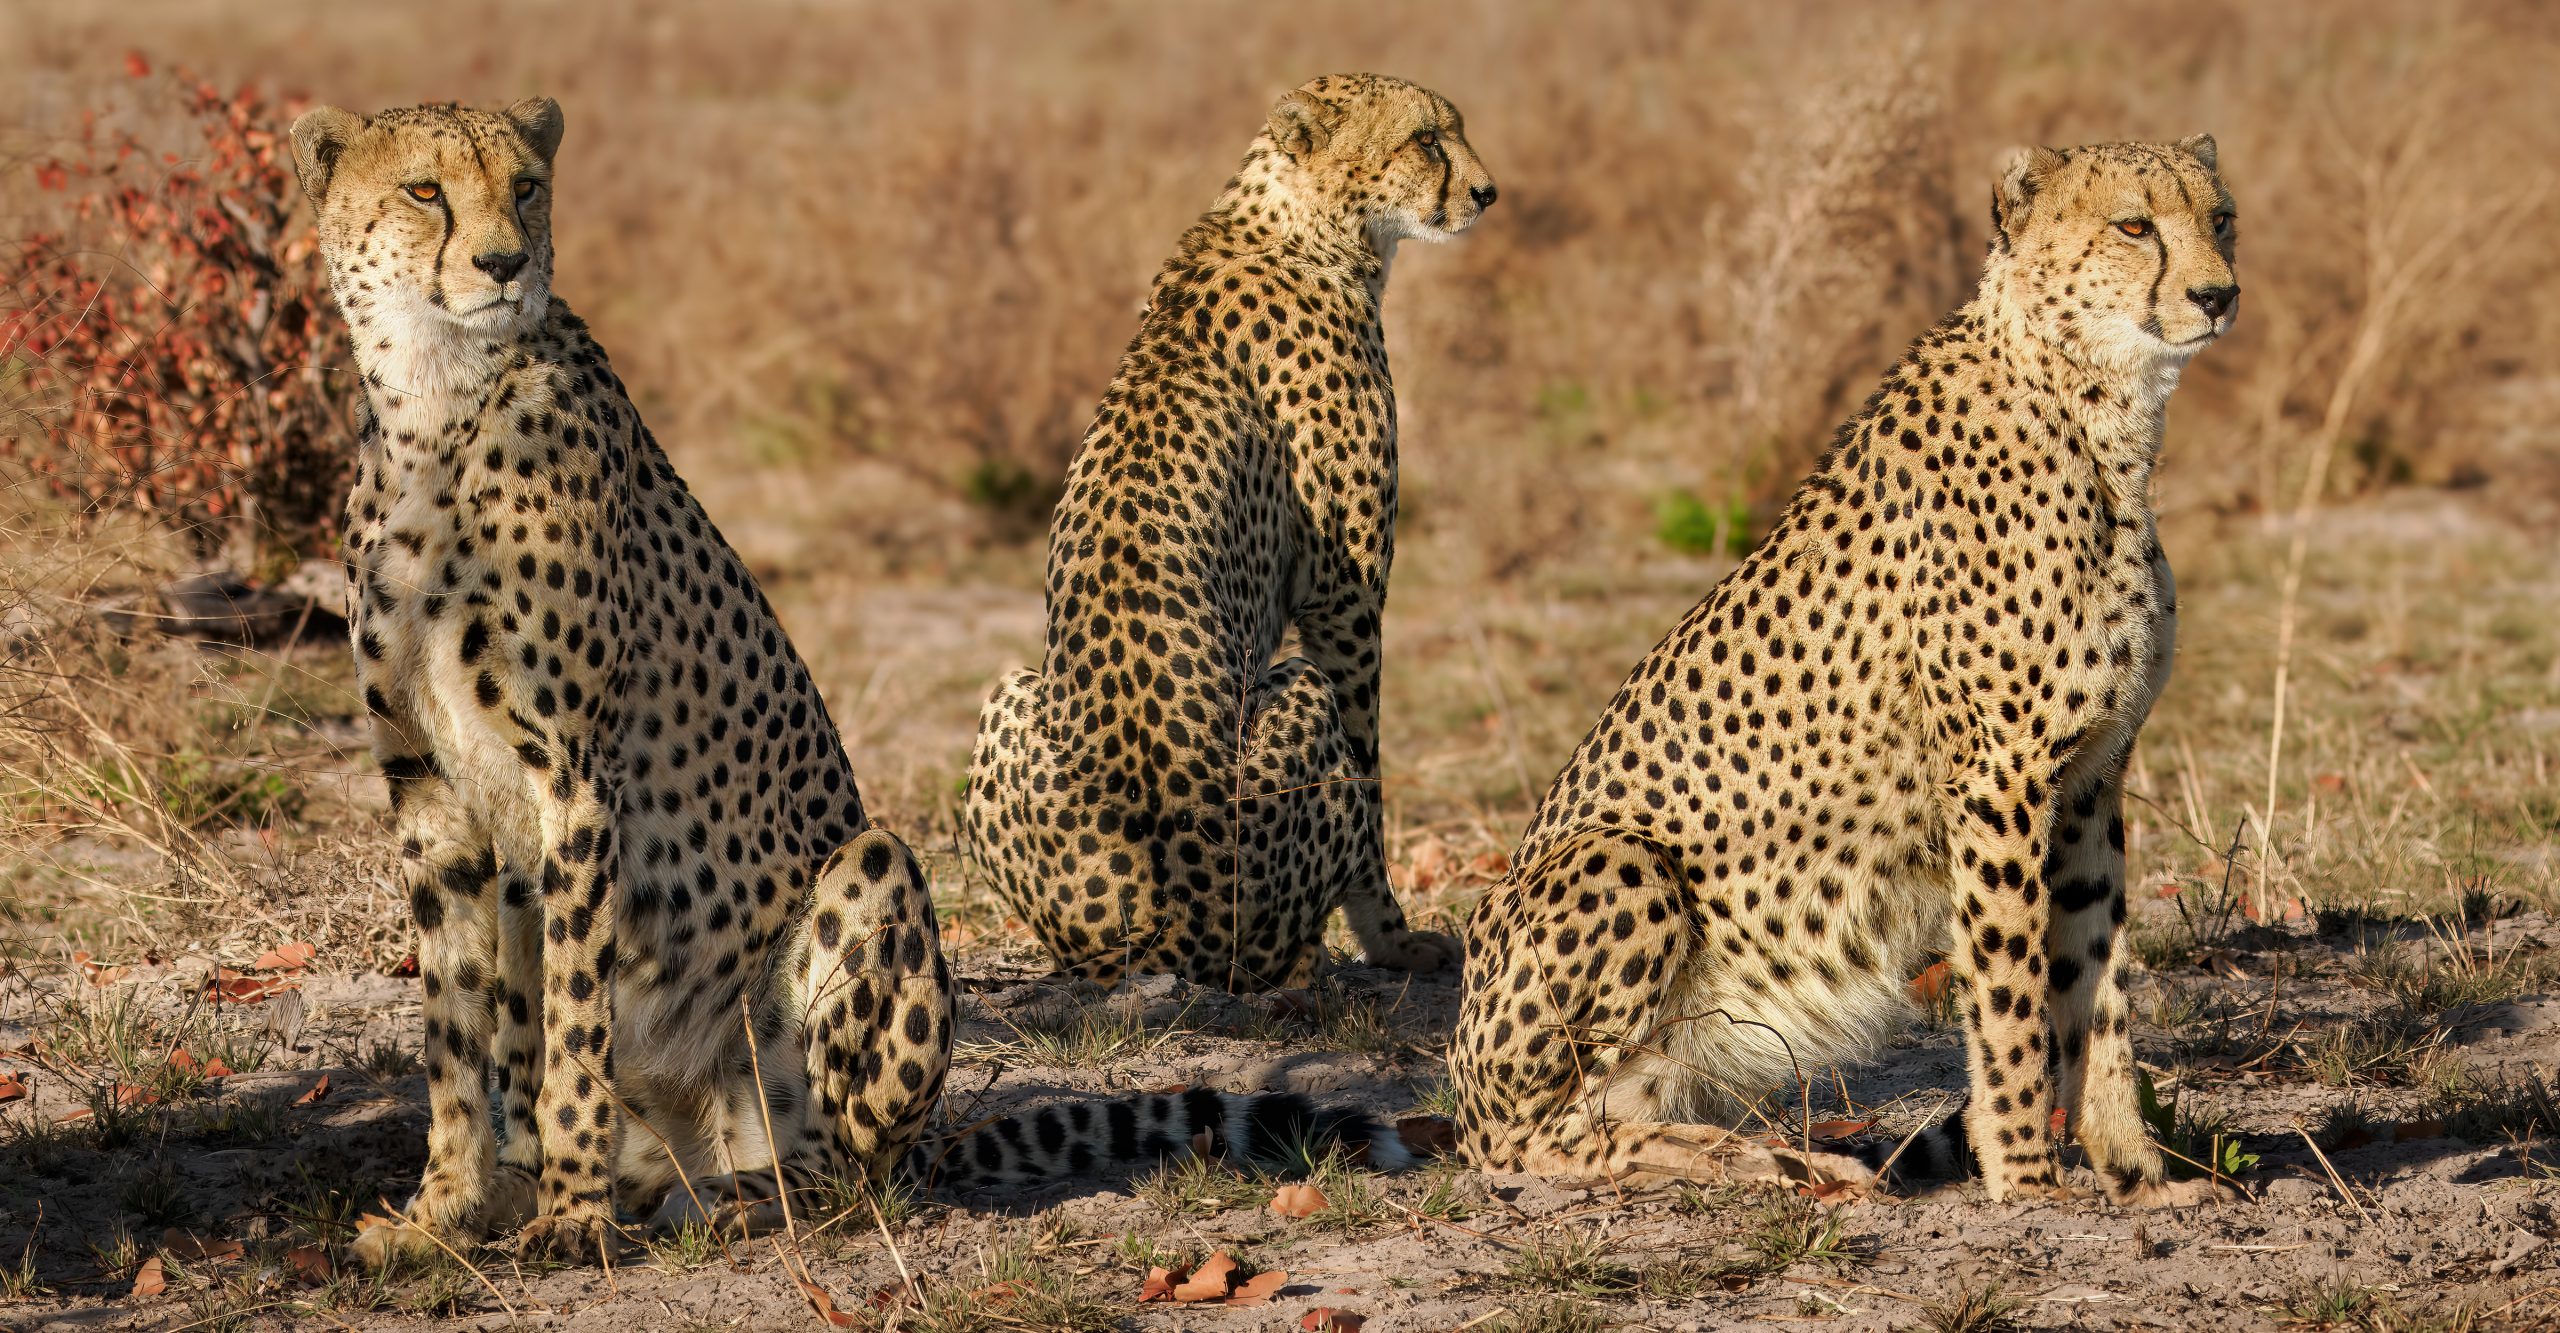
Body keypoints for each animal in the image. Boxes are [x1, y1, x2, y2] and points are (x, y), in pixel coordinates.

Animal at [290, 98, 953, 1266]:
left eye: (526, 187)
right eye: (425, 190)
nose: (505, 262)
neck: (433, 399)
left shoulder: (576, 780)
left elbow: (574, 1026)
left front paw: (572, 1218)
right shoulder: (429, 794)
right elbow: (456, 1037)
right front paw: (441, 1214)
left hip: (865, 879)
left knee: (852, 1169)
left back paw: (735, 1198)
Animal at [963, 74, 1494, 991]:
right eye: (1427, 139)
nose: (1488, 192)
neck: (1296, 225)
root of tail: (1158, 933)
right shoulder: (1345, 600)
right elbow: (1371, 775)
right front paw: (1393, 939)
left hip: (1007, 693)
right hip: (1296, 704)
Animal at [1450, 136, 2241, 1207]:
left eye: (2221, 217)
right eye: (2134, 224)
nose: (2218, 293)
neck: (2094, 413)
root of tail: (1456, 1093)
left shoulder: (2089, 777)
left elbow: (2097, 983)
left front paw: (2138, 1175)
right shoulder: (1999, 778)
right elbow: (2011, 992)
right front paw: (2027, 1177)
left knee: (1615, 1111)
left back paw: (1774, 1156)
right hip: (1620, 860)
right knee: (1533, 1139)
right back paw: (1758, 1159)